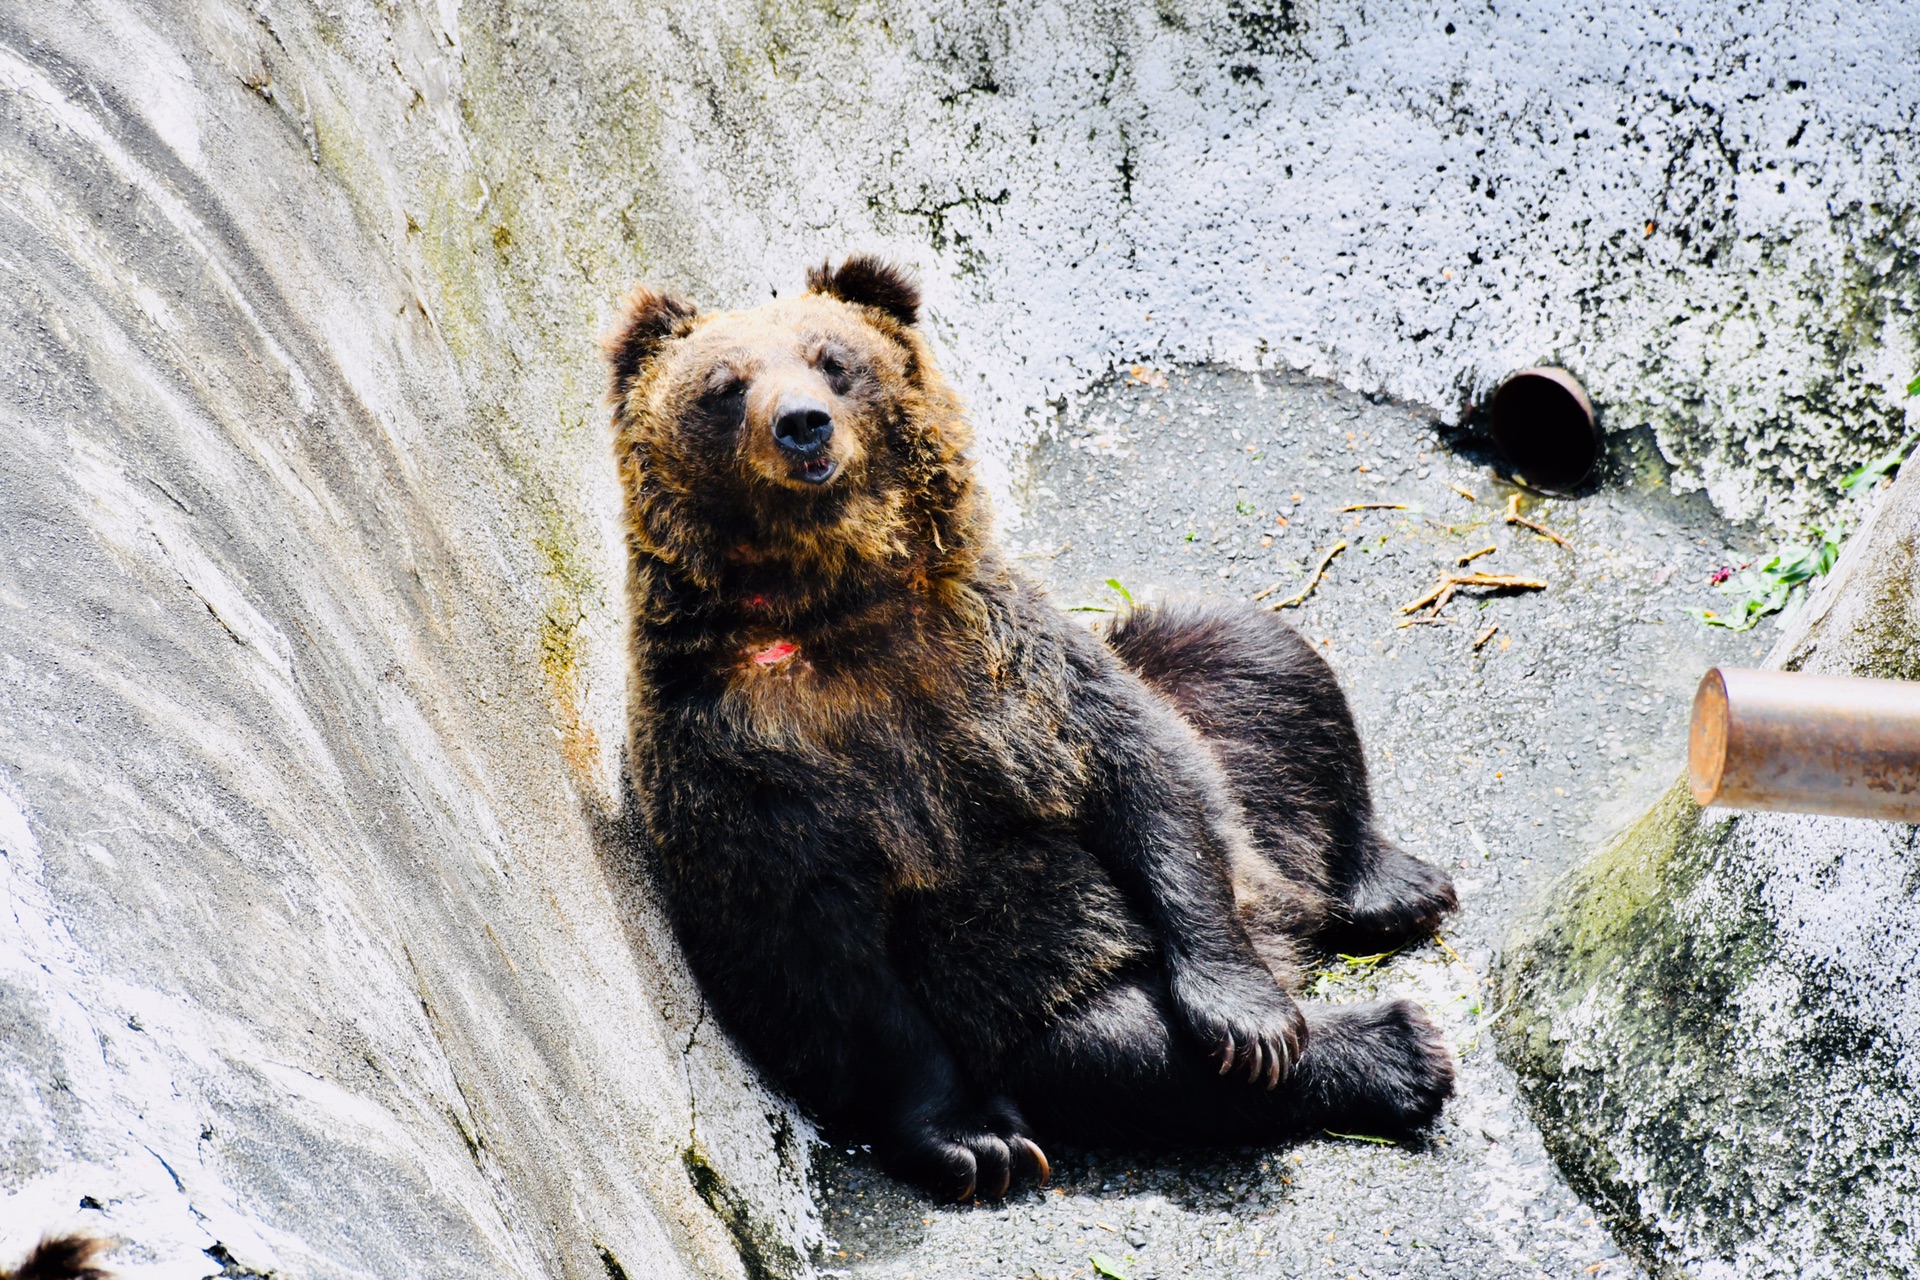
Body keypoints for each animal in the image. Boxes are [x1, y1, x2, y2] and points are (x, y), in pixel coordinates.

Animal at [606, 257, 1459, 1205]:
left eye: (834, 360)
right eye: (725, 386)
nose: (802, 424)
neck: (835, 609)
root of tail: (1287, 921)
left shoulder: (1006, 661)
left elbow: (1141, 769)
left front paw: (1246, 1013)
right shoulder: (749, 769)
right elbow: (828, 961)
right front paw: (976, 1141)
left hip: (1220, 750)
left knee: (1253, 653)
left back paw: (1393, 888)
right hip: (1054, 983)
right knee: (1125, 1051)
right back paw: (1395, 1049)